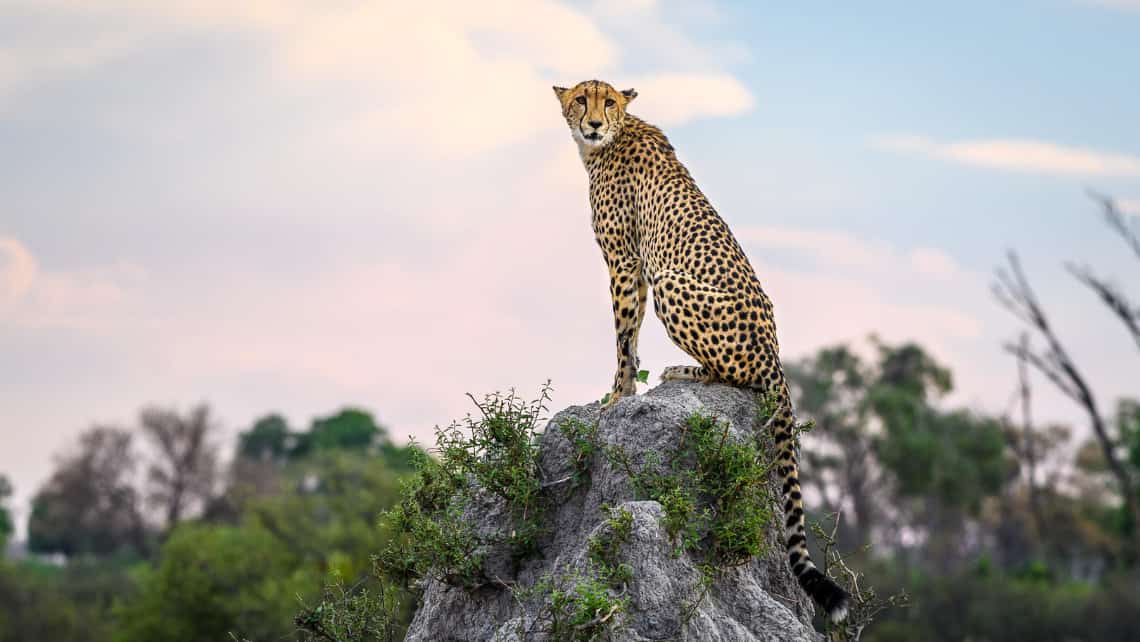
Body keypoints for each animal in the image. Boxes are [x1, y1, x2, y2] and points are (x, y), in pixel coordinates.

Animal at [556, 78, 852, 620]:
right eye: (581, 100)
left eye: (608, 101)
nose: (593, 123)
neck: (608, 142)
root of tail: (776, 356)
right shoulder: (634, 266)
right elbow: (629, 336)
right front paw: (622, 391)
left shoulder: (626, 262)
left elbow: (623, 335)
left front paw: (617, 396)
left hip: (673, 281)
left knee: (731, 374)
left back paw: (682, 372)